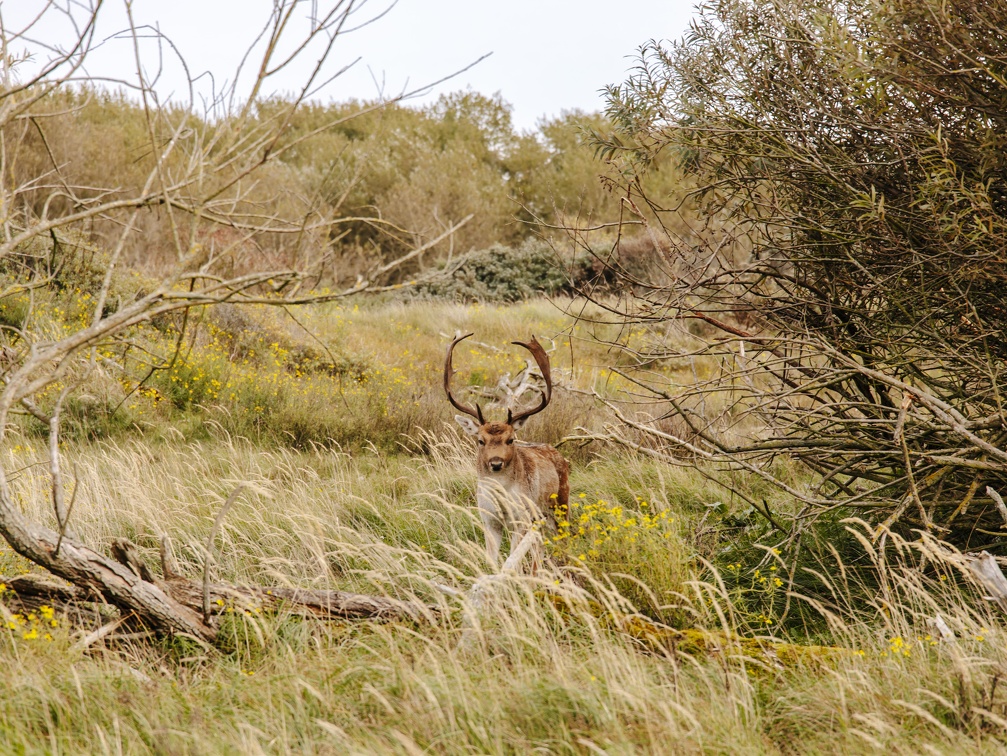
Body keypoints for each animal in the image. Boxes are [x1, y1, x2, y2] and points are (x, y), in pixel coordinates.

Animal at [445, 334, 571, 571]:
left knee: (564, 538)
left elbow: (512, 561)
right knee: (539, 547)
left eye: (510, 439)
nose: (495, 463)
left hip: (561, 501)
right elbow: (491, 560)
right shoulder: (488, 519)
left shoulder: (520, 518)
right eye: (480, 440)